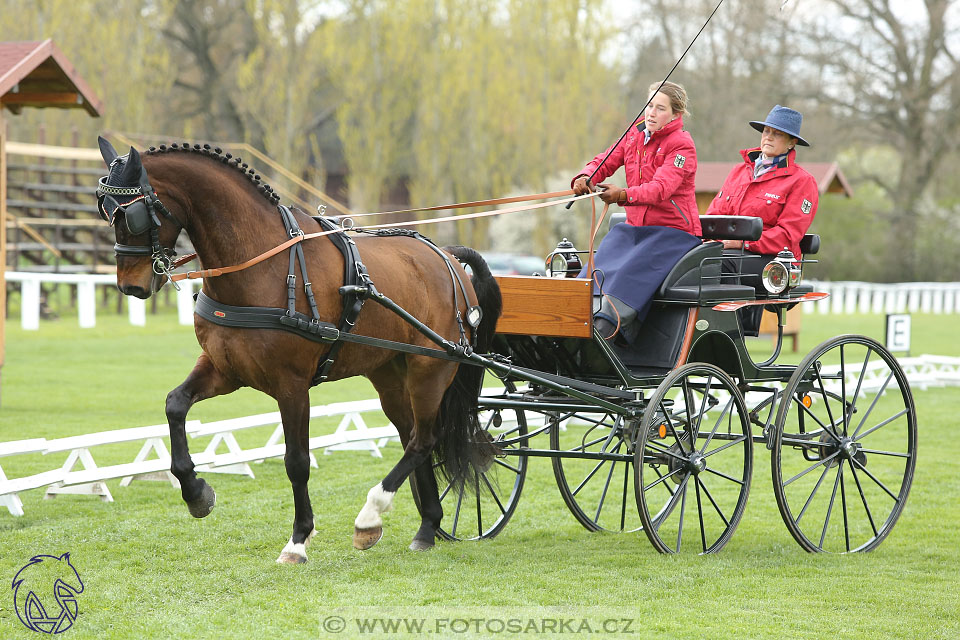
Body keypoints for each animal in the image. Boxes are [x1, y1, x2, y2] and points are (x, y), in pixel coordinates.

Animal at [95, 138, 502, 564]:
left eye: (132, 214)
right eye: (104, 209)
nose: (130, 286)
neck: (262, 264)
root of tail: (447, 257)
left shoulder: (291, 386)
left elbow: (297, 461)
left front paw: (299, 539)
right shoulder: (225, 369)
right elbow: (175, 405)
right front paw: (196, 493)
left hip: (430, 369)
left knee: (424, 439)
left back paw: (371, 515)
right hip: (390, 374)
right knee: (412, 436)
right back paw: (425, 525)